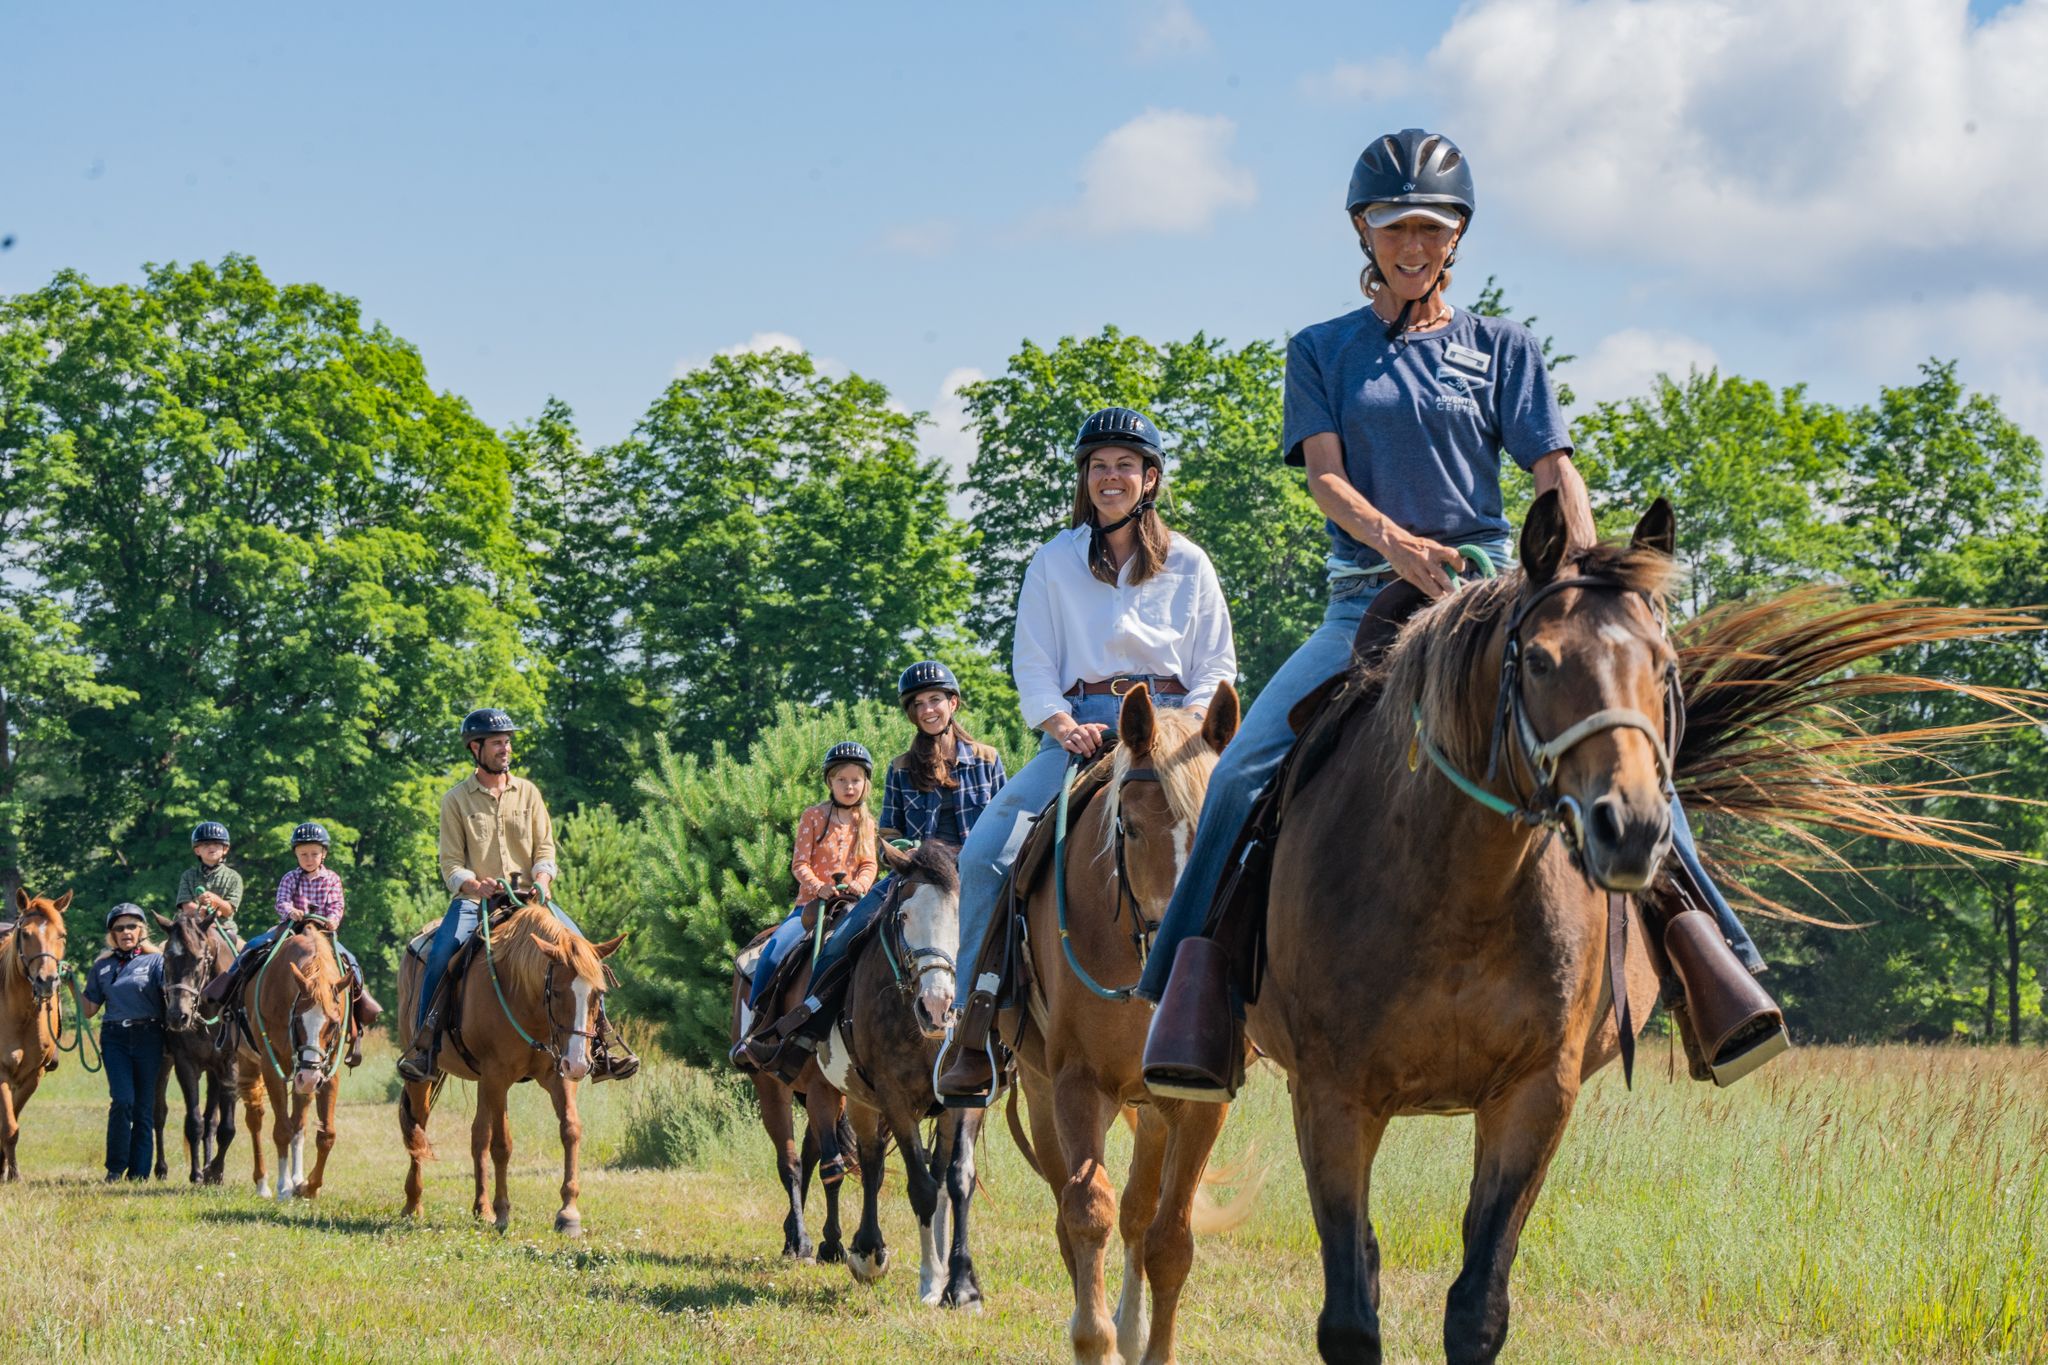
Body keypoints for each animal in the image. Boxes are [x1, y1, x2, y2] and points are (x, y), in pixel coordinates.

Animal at [151, 905, 238, 1184]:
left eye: (200, 959)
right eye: (167, 958)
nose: (177, 1016)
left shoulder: (228, 1065)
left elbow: (224, 1126)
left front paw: (215, 1172)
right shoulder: (184, 1064)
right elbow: (194, 1122)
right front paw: (197, 1173)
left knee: (212, 1120)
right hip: (163, 1063)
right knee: (159, 1113)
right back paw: (161, 1168)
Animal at [234, 915, 349, 1201]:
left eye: (333, 1024)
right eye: (297, 1020)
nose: (309, 1076)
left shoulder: (328, 1071)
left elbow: (325, 1134)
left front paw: (308, 1186)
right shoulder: (271, 1068)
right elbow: (281, 1130)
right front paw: (284, 1187)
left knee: (299, 1122)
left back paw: (297, 1178)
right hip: (251, 1064)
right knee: (256, 1119)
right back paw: (263, 1183)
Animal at [397, 900, 627, 1235]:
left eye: (599, 993)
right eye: (557, 991)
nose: (579, 1063)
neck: (524, 998)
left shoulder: (555, 1075)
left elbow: (571, 1130)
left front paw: (568, 1213)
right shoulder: (498, 1076)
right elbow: (502, 1144)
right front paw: (504, 1212)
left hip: (484, 1081)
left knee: (477, 1135)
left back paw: (481, 1209)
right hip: (426, 1076)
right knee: (419, 1128)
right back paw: (413, 1205)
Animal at [815, 844, 988, 1308]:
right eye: (904, 916)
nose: (937, 1008)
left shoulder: (968, 1098)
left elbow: (957, 1180)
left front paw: (960, 1284)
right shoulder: (892, 1098)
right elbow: (920, 1187)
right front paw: (929, 1280)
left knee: (940, 1173)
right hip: (857, 1098)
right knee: (872, 1164)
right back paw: (868, 1252)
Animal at [987, 683, 1246, 1365]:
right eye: (1129, 826)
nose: (1178, 950)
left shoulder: (1199, 1104)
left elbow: (1169, 1239)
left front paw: (1144, 1343)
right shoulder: (1077, 1085)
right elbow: (1087, 1212)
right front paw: (1092, 1336)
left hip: (1152, 1111)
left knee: (1136, 1212)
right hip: (1042, 1092)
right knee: (1069, 1211)